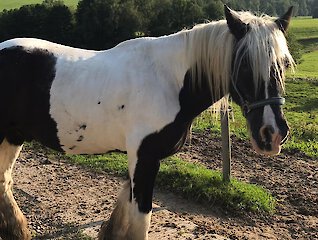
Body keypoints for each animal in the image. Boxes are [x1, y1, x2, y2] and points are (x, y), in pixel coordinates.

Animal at [0, 5, 294, 240]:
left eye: (283, 64)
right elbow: (141, 219)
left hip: (12, 137)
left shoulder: (142, 160)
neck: (169, 81)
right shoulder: (145, 158)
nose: (272, 134)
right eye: (244, 65)